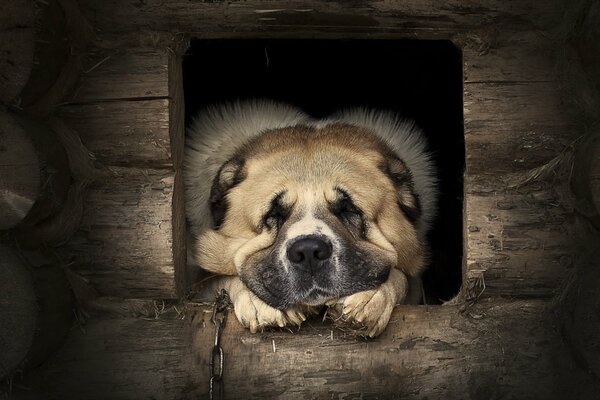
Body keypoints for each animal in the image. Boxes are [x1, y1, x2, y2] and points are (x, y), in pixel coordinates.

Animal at [184, 98, 436, 336]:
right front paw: (257, 301)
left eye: (348, 209)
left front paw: (371, 299)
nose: (308, 251)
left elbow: (401, 277)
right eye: (275, 213)